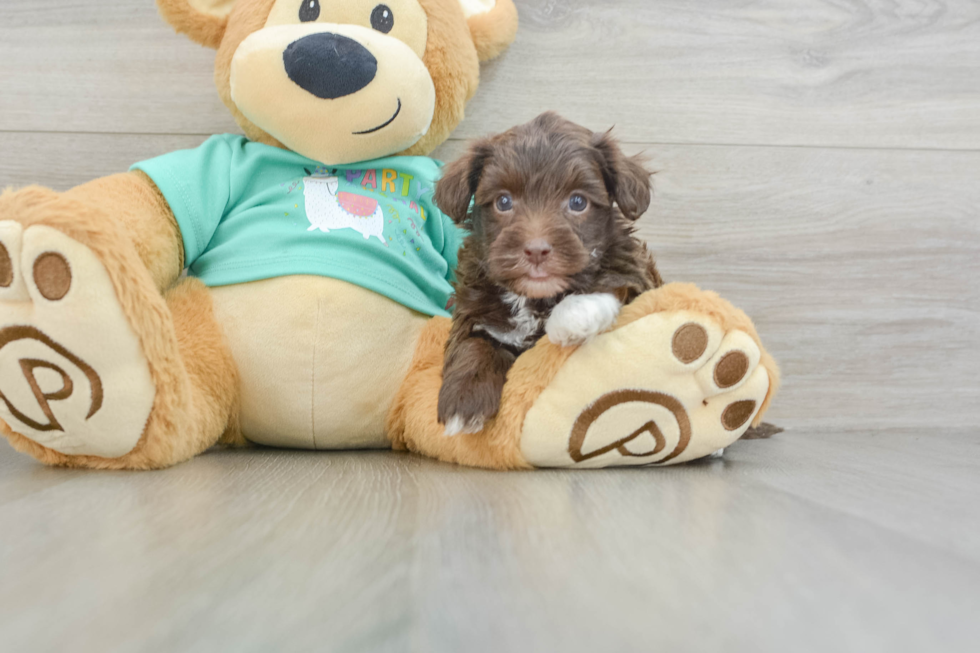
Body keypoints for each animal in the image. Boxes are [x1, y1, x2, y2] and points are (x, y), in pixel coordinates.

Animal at [432, 112, 664, 436]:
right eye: (503, 201)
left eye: (578, 202)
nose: (536, 250)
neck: (535, 300)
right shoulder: (474, 309)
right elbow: (472, 342)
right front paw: (464, 402)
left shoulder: (637, 274)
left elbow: (614, 284)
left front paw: (573, 316)